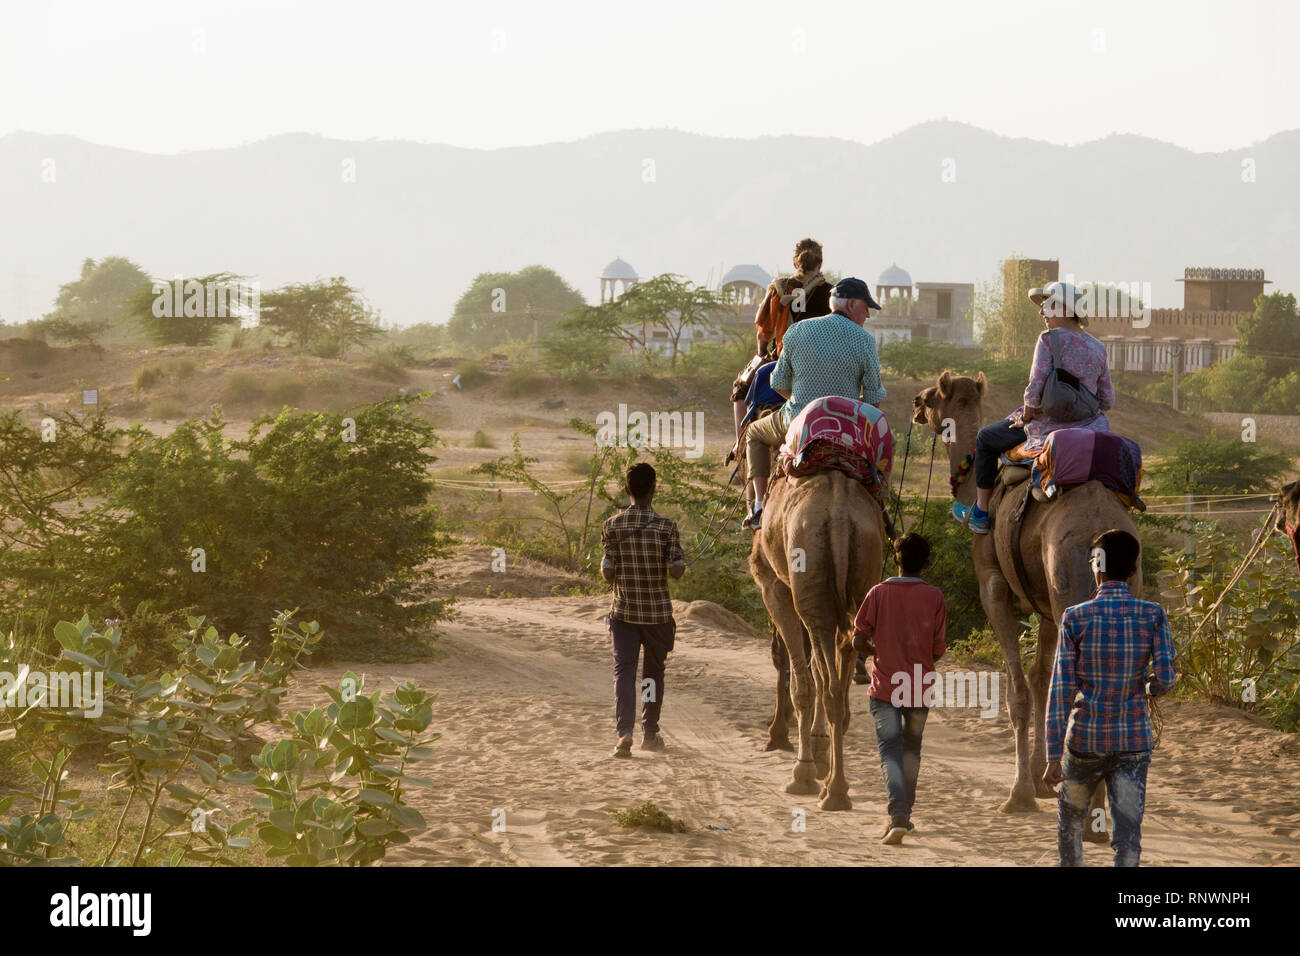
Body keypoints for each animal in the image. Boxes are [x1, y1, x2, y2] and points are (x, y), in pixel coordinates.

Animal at [748, 463, 889, 806]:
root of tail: (838, 516)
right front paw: (820, 750)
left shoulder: (774, 586)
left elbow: (797, 676)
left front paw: (801, 764)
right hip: (864, 569)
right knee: (839, 673)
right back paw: (834, 784)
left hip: (808, 578)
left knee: (825, 685)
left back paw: (828, 787)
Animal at [915, 369, 1138, 816]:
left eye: (931, 397)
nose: (914, 403)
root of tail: (1104, 529)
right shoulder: (1046, 606)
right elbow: (1041, 683)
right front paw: (1039, 779)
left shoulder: (994, 588)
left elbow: (1018, 690)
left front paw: (1019, 792)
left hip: (1068, 580)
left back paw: (1091, 809)